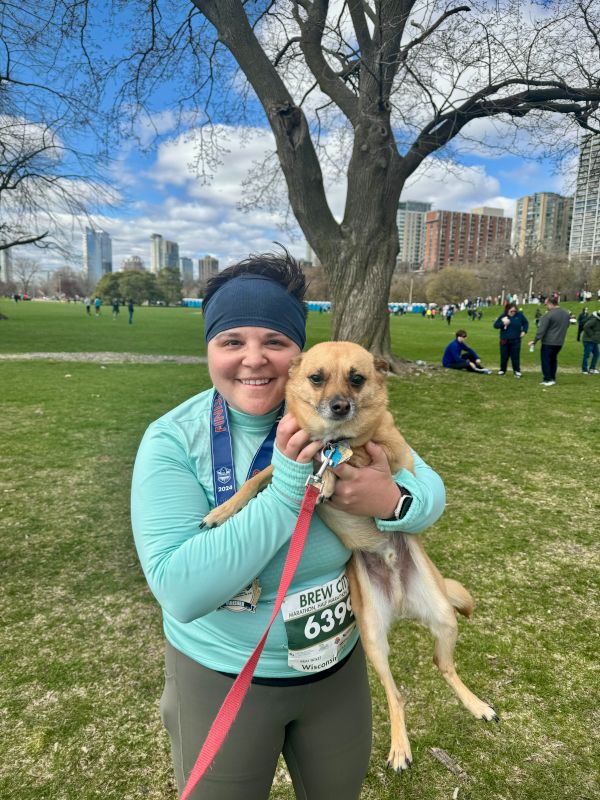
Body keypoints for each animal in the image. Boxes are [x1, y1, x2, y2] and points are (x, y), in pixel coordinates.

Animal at [202, 340, 496, 772]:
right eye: (316, 377)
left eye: (357, 379)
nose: (340, 406)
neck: (329, 437)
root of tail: (402, 602)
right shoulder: (282, 464)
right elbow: (256, 480)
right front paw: (223, 511)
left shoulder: (392, 456)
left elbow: (351, 453)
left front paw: (328, 475)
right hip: (374, 638)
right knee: (399, 692)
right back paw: (403, 744)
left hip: (443, 619)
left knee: (442, 668)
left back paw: (472, 708)